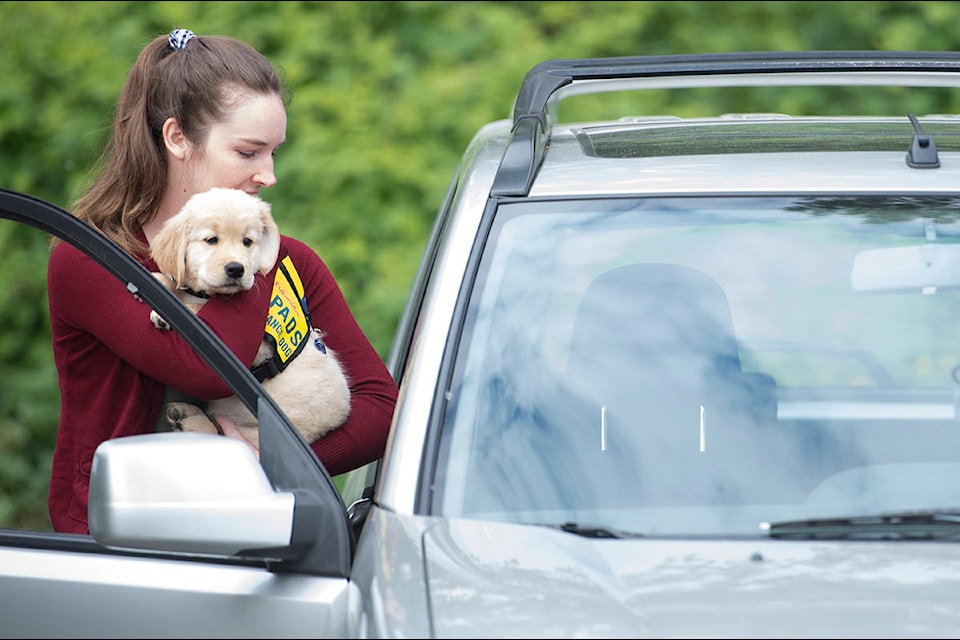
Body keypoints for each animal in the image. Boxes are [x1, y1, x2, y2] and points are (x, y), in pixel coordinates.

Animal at [146, 185, 348, 444]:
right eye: (211, 240)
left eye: (247, 242)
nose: (236, 269)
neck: (206, 294)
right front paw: (159, 281)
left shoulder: (259, 347)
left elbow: (196, 310)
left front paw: (173, 312)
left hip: (265, 430)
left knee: (225, 433)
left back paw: (190, 420)